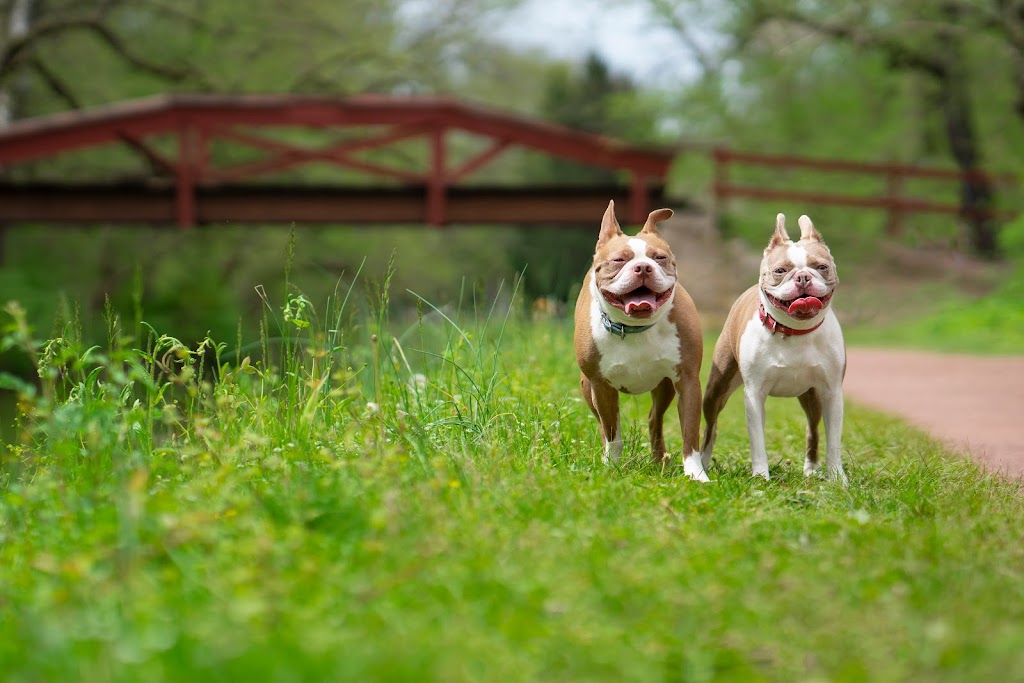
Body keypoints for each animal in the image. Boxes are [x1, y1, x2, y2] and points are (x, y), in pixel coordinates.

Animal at [573, 201, 708, 481]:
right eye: (618, 260)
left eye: (659, 258)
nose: (643, 267)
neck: (634, 328)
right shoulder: (600, 386)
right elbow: (612, 433)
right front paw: (611, 467)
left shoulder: (687, 380)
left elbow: (690, 433)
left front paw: (696, 474)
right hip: (587, 387)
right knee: (603, 424)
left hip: (665, 386)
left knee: (655, 419)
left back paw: (659, 461)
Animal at [700, 210, 843, 483]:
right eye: (780, 271)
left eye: (821, 267)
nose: (803, 277)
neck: (795, 331)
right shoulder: (755, 395)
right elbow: (757, 440)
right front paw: (760, 477)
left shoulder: (832, 393)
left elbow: (834, 441)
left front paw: (838, 480)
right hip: (716, 389)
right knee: (711, 429)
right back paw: (701, 462)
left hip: (812, 396)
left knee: (812, 429)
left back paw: (811, 469)